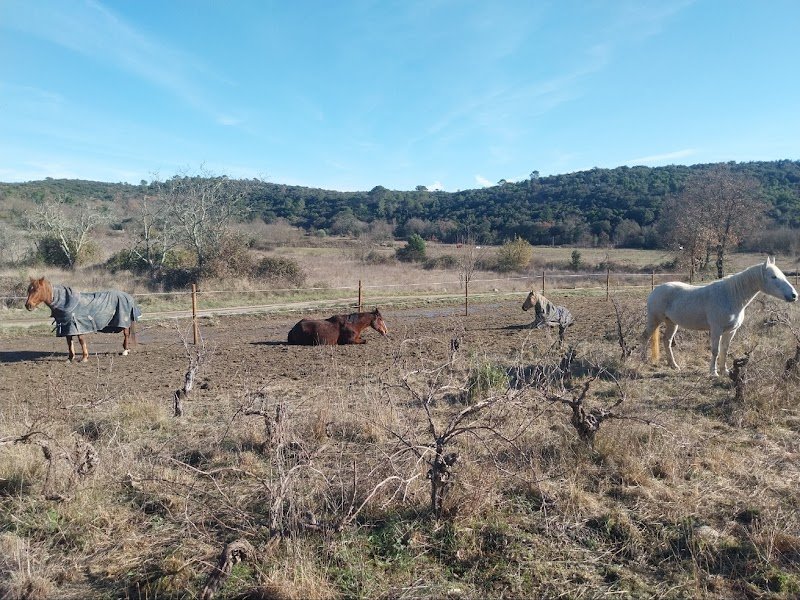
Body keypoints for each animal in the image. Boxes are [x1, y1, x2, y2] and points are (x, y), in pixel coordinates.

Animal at [641, 257, 797, 376]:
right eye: (773, 277)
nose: (794, 295)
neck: (730, 296)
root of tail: (656, 290)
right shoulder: (716, 330)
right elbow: (715, 351)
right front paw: (714, 372)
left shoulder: (730, 331)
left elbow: (724, 350)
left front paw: (725, 371)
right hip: (654, 320)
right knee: (645, 337)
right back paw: (644, 360)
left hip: (672, 323)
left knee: (666, 341)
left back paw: (673, 365)